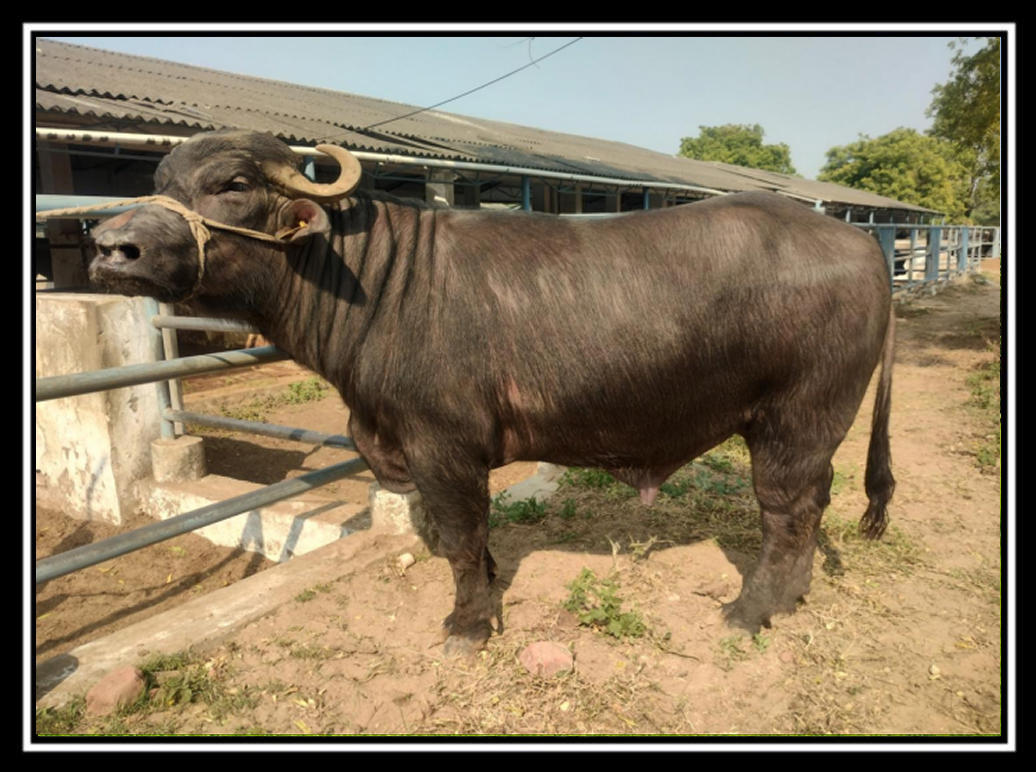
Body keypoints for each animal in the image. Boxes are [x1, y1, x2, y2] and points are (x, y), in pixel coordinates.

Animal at [87, 130, 895, 657]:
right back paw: (789, 597)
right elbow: (470, 542)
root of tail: (863, 246)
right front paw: (489, 589)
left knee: (787, 512)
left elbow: (459, 534)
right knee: (814, 505)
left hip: (796, 419)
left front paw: (468, 624)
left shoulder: (442, 447)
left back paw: (751, 610)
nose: (111, 248)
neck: (378, 282)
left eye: (234, 184)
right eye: (160, 183)